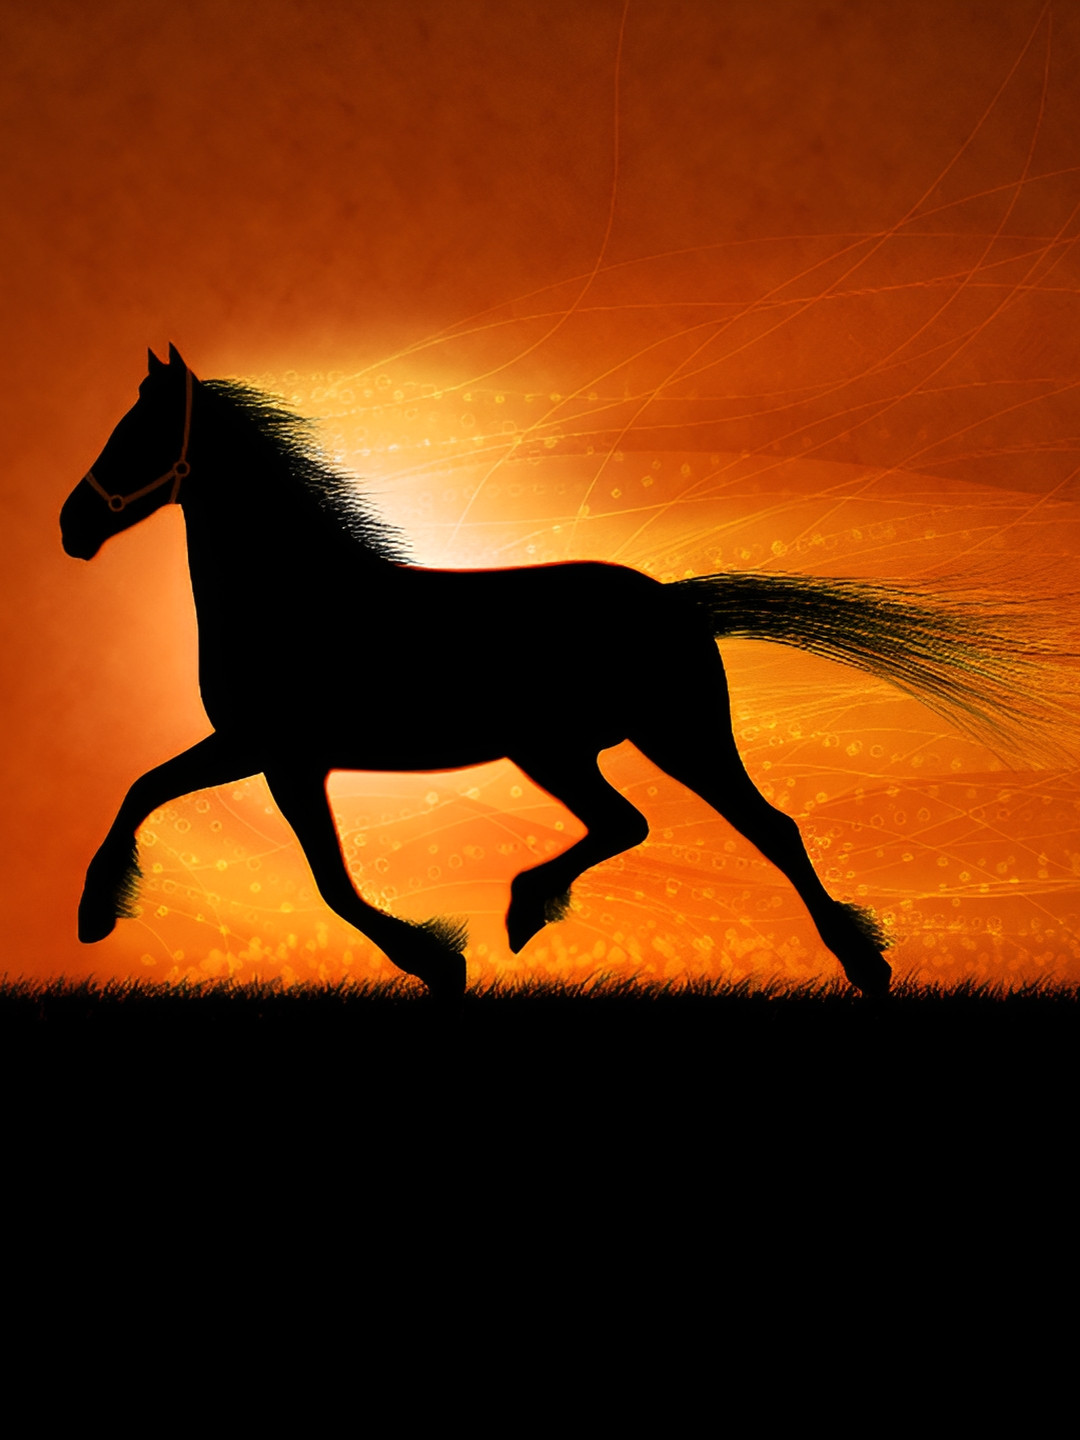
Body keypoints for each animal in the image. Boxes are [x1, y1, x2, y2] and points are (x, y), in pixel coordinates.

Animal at [61, 346, 1047, 999]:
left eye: (137, 435)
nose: (72, 526)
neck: (296, 594)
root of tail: (675, 602)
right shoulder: (255, 748)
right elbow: (146, 789)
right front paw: (97, 915)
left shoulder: (283, 755)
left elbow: (328, 880)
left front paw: (437, 960)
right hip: (568, 750)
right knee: (631, 823)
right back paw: (530, 909)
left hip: (667, 735)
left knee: (763, 827)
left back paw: (862, 964)